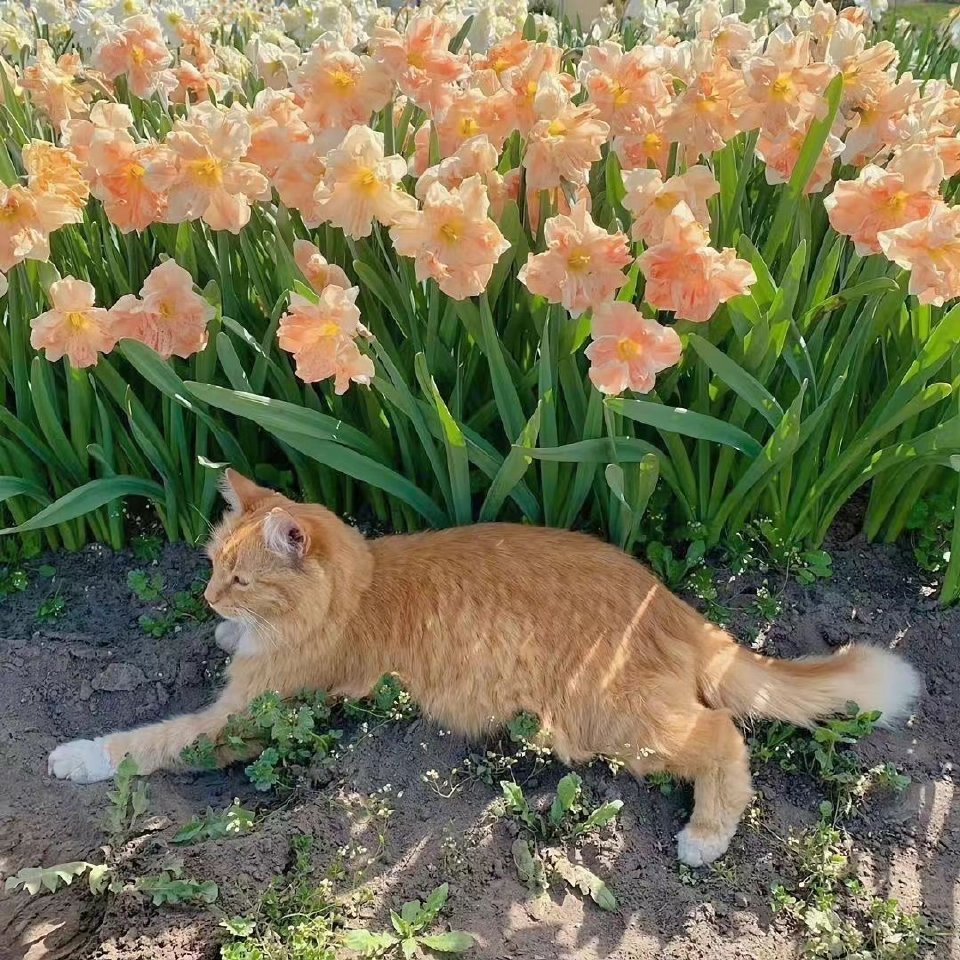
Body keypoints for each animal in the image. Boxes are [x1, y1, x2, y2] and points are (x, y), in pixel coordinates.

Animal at [48, 468, 920, 868]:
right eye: (211, 567)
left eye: (239, 577)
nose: (205, 595)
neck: (361, 586)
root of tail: (665, 599)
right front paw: (229, 638)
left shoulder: (243, 719)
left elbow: (149, 741)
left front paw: (78, 754)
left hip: (619, 727)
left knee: (724, 738)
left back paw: (705, 836)